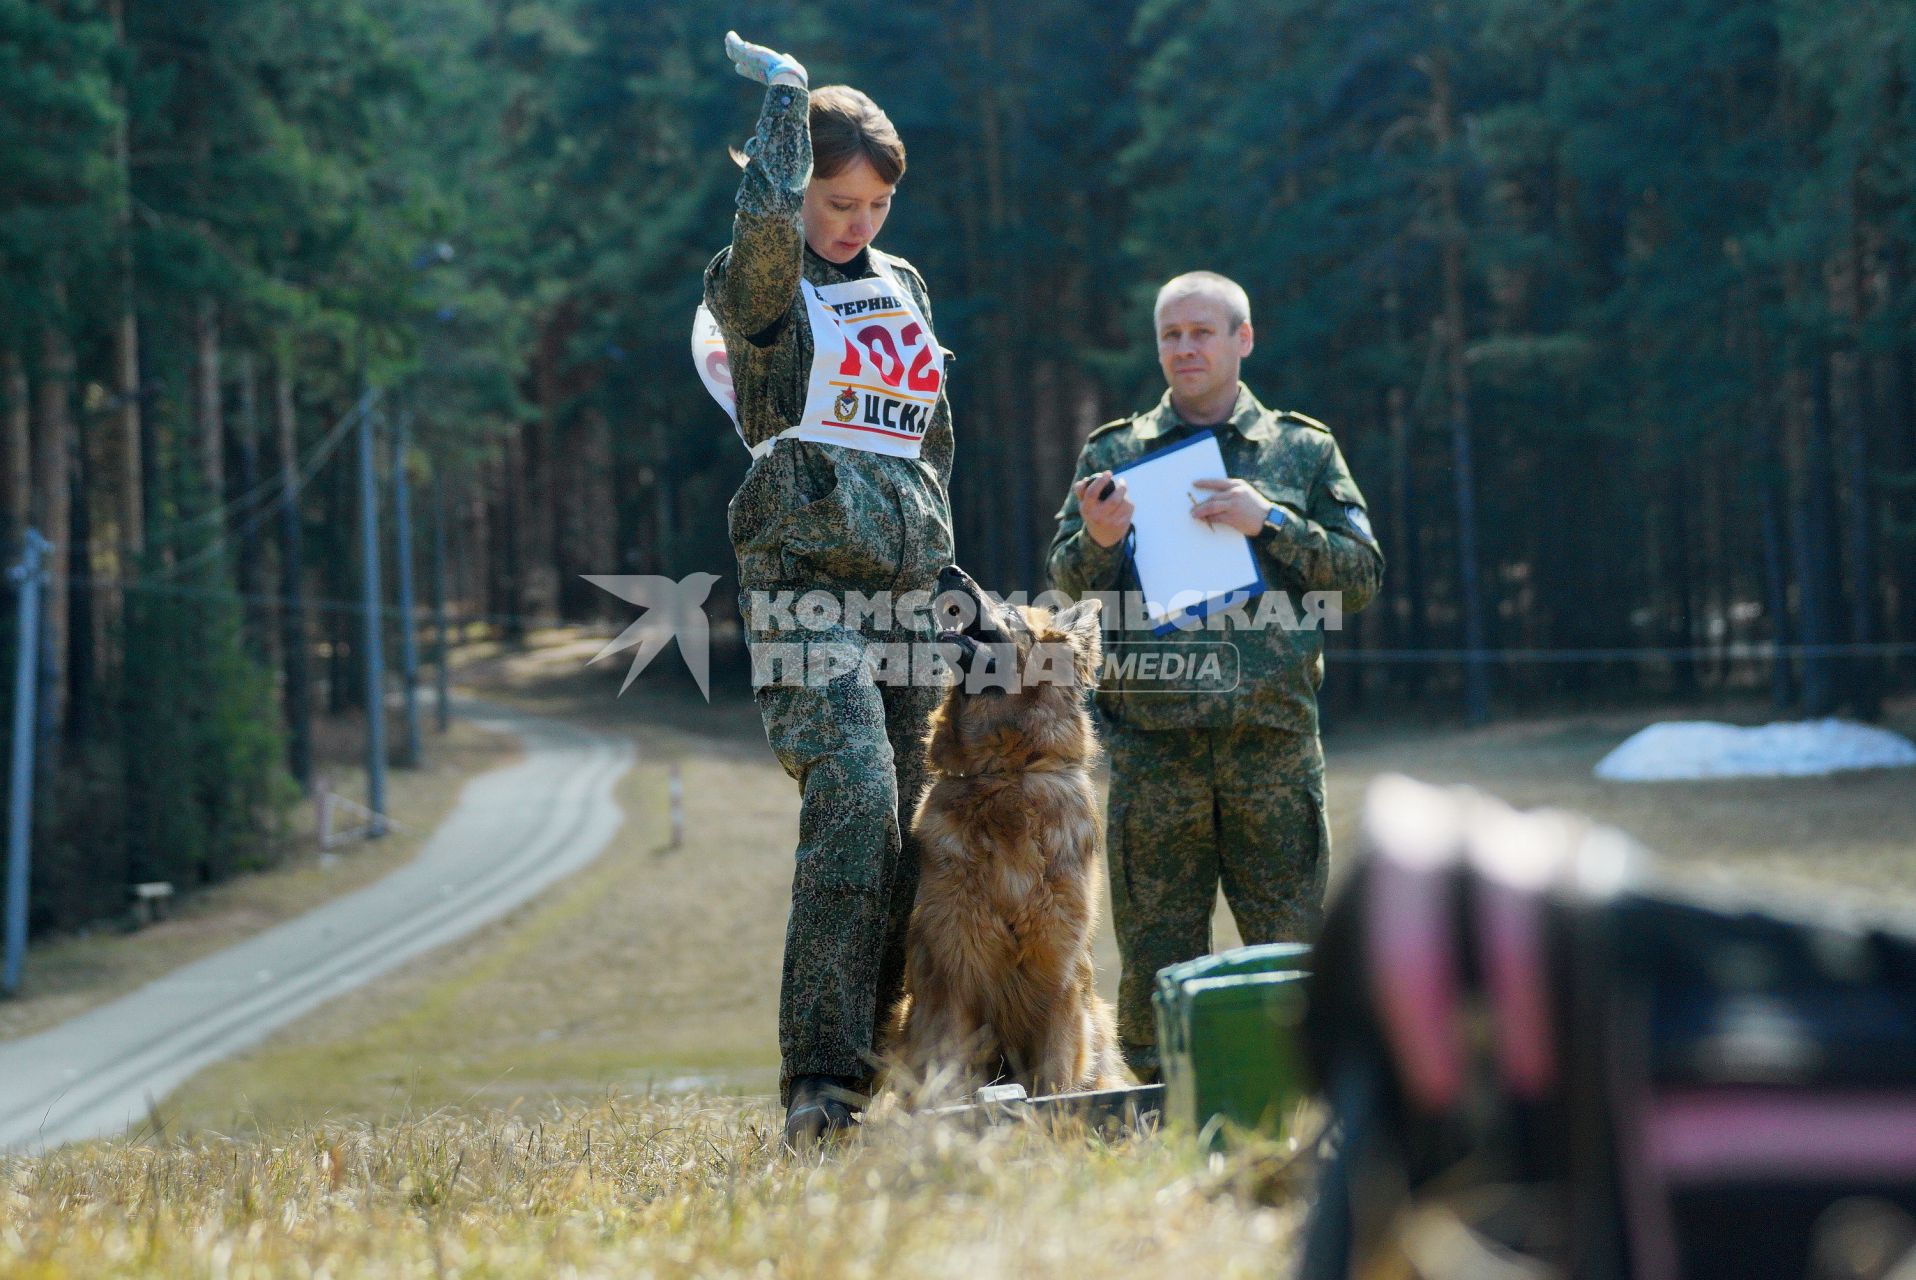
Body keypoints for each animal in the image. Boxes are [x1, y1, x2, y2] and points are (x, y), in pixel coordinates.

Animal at [885, 563, 1126, 1096]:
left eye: (1011, 611)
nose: (948, 570)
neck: (1005, 776)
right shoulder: (954, 981)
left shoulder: (1059, 986)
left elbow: (1056, 1085)